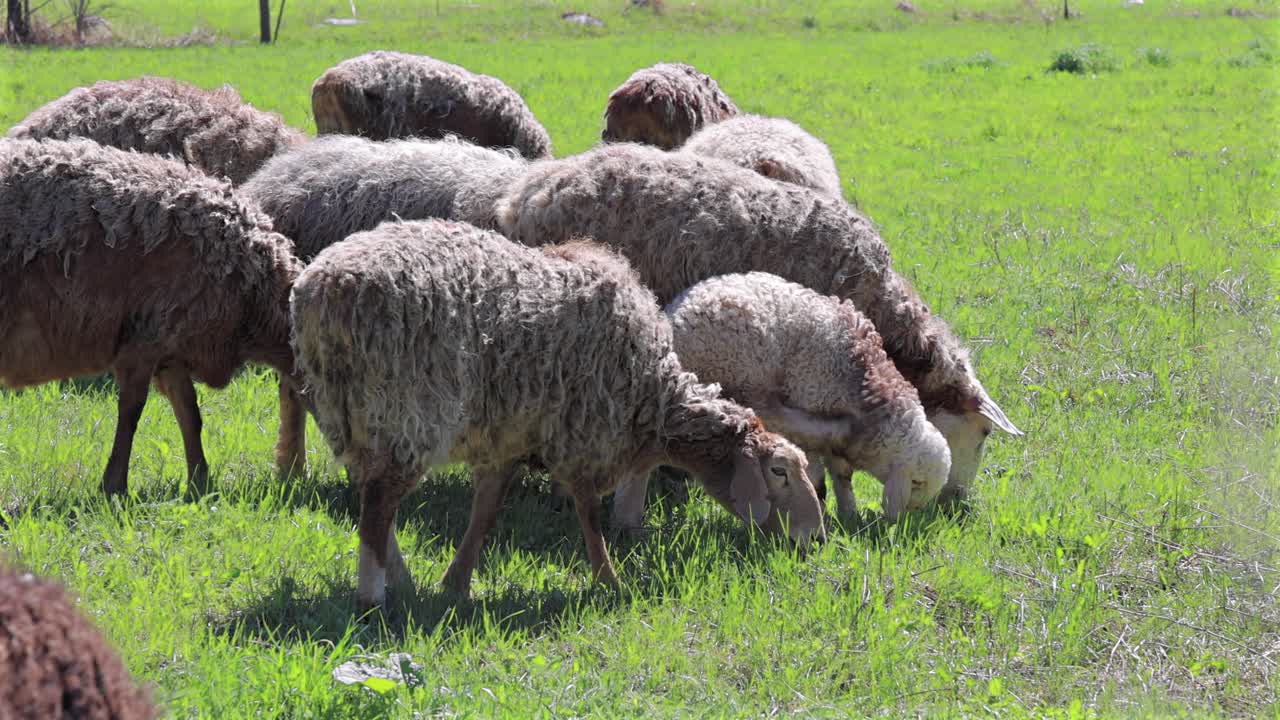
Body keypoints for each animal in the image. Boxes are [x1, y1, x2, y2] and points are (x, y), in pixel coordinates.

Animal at [0, 138, 303, 497]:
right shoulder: (145, 339)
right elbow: (131, 412)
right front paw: (114, 486)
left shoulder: (171, 348)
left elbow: (190, 414)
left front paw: (199, 482)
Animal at [290, 219, 825, 609]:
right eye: (778, 472)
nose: (817, 538)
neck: (651, 396)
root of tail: (323, 288)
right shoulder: (583, 431)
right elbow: (588, 511)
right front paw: (608, 580)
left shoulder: (507, 435)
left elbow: (486, 511)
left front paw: (457, 582)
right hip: (405, 409)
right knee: (378, 504)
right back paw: (372, 596)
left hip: (354, 417)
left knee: (371, 499)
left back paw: (398, 578)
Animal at [613, 272, 951, 529]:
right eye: (917, 483)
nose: (905, 520)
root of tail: (675, 317)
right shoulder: (812, 400)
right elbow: (820, 467)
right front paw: (825, 509)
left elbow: (842, 473)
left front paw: (849, 513)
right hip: (740, 372)